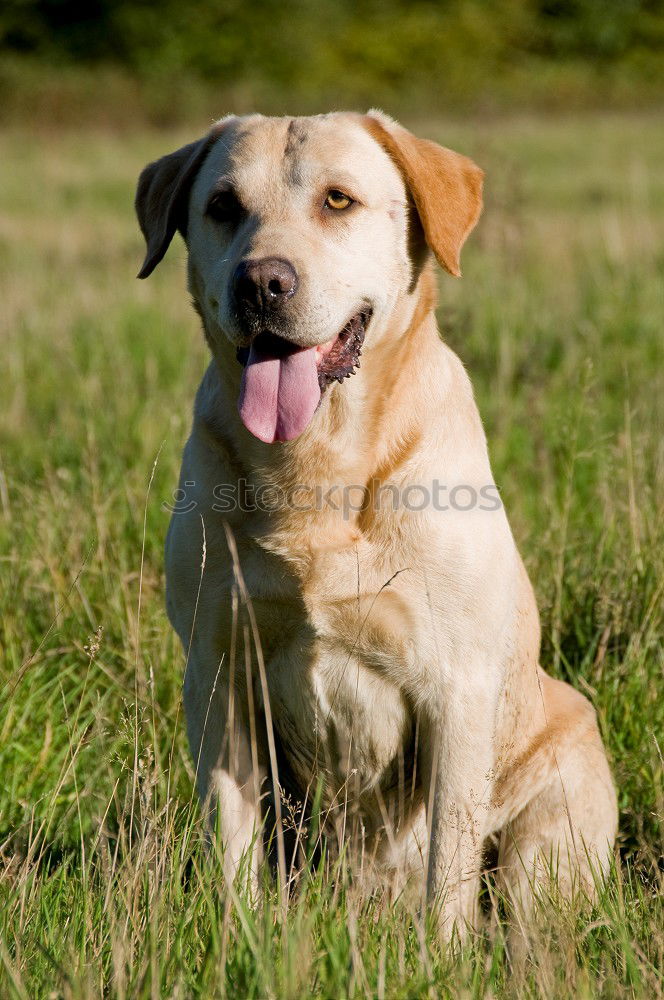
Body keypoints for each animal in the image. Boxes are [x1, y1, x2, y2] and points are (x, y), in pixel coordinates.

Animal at [134, 111, 616, 936]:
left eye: (338, 200)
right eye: (223, 206)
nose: (261, 282)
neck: (316, 465)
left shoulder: (457, 690)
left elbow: (449, 865)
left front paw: (444, 953)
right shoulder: (217, 674)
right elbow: (232, 841)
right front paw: (236, 937)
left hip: (549, 828)